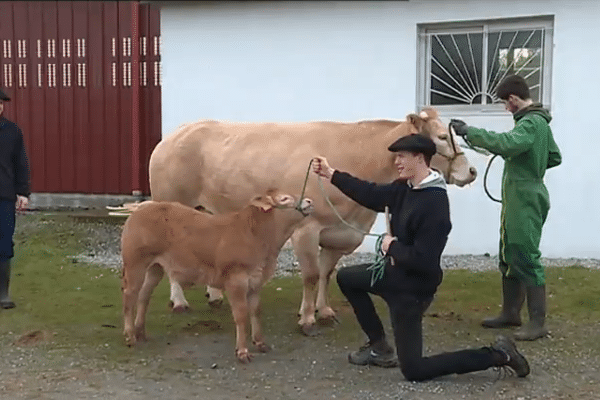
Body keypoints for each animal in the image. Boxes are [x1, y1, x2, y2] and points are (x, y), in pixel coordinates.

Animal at [149, 108, 474, 336]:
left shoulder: (338, 233)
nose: (470, 171)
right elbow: (310, 275)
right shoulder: (307, 228)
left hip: (206, 212)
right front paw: (306, 319)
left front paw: (324, 310)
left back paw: (214, 296)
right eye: (442, 137)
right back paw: (179, 302)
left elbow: (326, 273)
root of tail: (177, 133)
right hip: (170, 203)